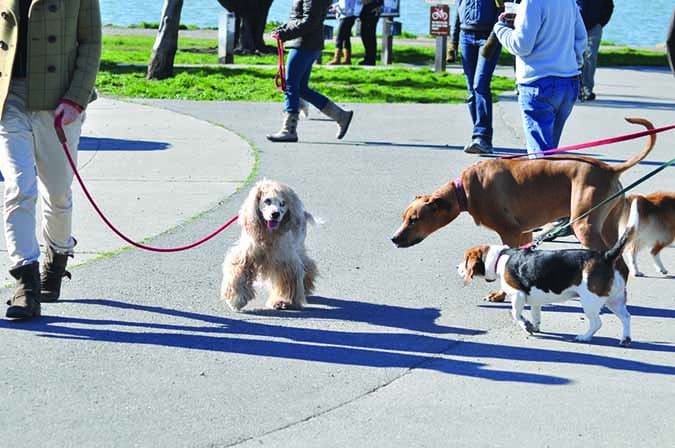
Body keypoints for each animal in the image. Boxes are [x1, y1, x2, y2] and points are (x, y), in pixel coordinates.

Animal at [220, 179, 318, 312]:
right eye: (267, 201)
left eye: (283, 203)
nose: (275, 214)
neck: (268, 235)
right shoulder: (246, 255)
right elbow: (238, 273)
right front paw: (237, 299)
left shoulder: (284, 260)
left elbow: (286, 280)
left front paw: (282, 301)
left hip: (298, 245)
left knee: (307, 264)